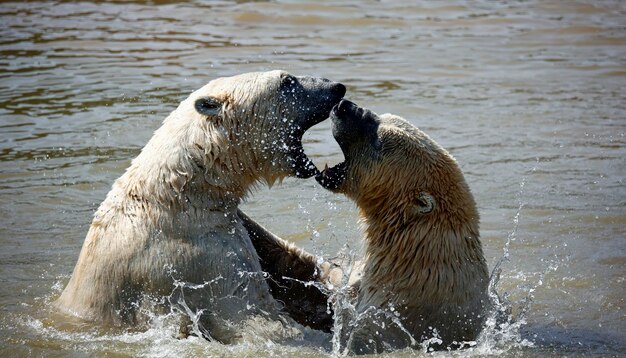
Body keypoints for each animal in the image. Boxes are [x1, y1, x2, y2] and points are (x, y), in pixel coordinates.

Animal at [54, 70, 344, 344]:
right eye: (287, 81)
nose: (337, 87)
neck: (180, 193)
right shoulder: (199, 257)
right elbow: (254, 315)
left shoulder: (239, 224)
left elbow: (289, 268)